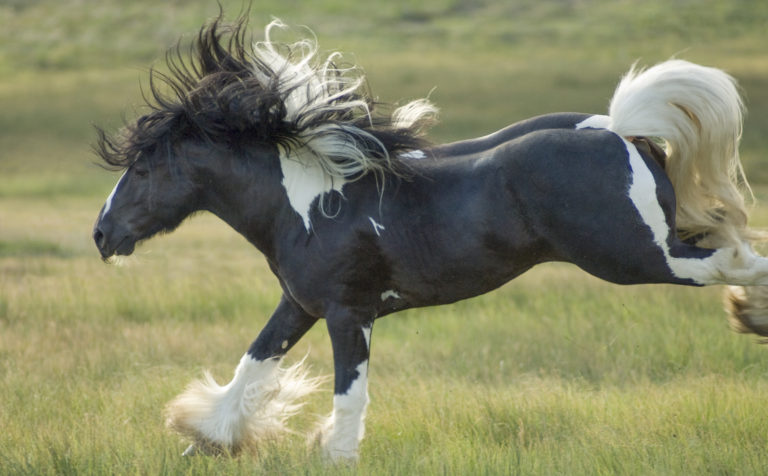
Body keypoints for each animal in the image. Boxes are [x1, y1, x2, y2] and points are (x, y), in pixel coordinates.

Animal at [92, 13, 768, 461]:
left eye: (144, 170)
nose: (102, 235)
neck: (310, 204)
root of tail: (621, 130)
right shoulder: (299, 305)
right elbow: (251, 366)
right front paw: (205, 438)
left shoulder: (349, 313)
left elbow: (348, 398)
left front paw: (332, 454)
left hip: (634, 256)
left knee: (735, 260)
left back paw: (751, 316)